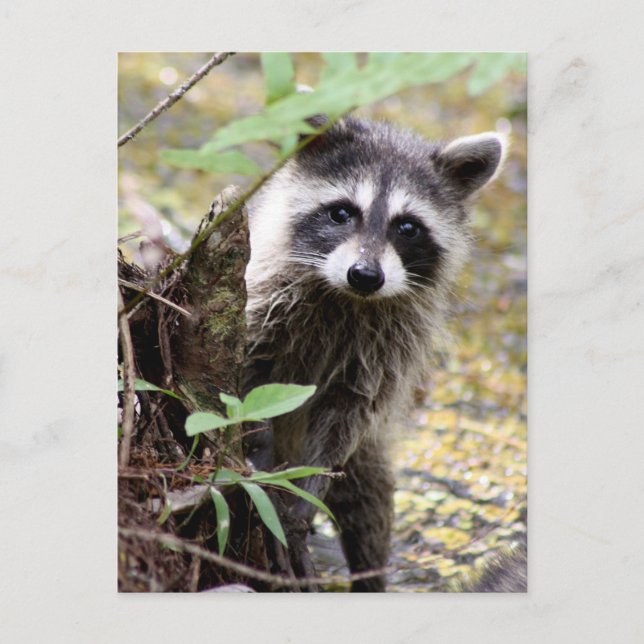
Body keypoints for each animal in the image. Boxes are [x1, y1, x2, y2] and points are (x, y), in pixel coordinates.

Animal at [243, 116, 506, 591]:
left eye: (408, 226)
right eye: (341, 212)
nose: (365, 275)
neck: (347, 298)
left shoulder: (385, 349)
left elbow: (346, 417)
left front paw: (306, 493)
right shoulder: (261, 301)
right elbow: (252, 382)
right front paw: (260, 454)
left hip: (368, 456)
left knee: (370, 501)